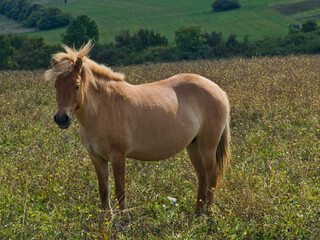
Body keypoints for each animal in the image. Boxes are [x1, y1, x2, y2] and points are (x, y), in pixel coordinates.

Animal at [44, 41, 230, 219]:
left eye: (76, 85)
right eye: (56, 86)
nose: (61, 118)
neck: (103, 108)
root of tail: (218, 90)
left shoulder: (118, 157)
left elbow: (120, 190)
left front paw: (125, 222)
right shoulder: (97, 158)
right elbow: (103, 191)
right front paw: (105, 222)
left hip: (207, 145)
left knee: (212, 176)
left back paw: (208, 215)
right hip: (193, 145)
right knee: (202, 177)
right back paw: (197, 214)